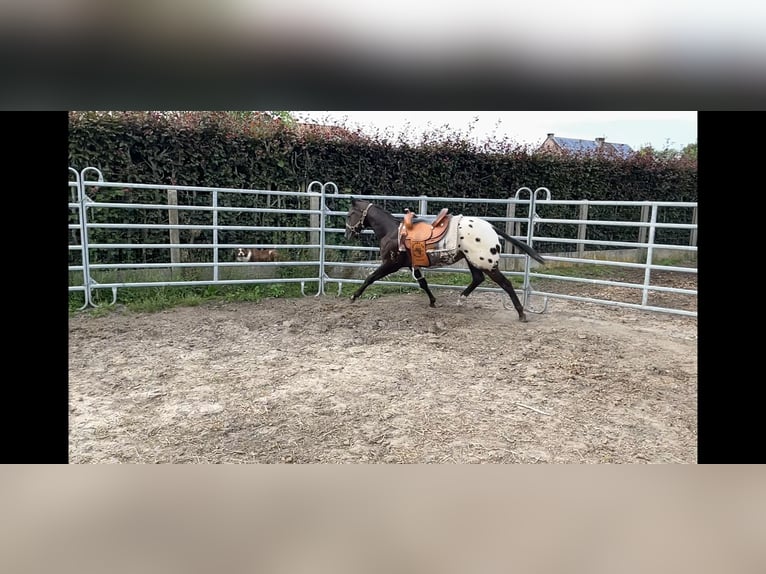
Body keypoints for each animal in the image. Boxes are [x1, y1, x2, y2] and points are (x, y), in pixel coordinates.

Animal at [344, 198, 545, 322]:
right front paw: (433, 301)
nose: (347, 234)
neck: (392, 231)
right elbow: (423, 283)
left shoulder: (391, 264)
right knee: (478, 278)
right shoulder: (412, 265)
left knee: (506, 284)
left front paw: (354, 296)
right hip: (471, 260)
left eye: (349, 214)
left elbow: (370, 278)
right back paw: (461, 299)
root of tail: (491, 228)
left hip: (486, 264)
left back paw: (521, 314)